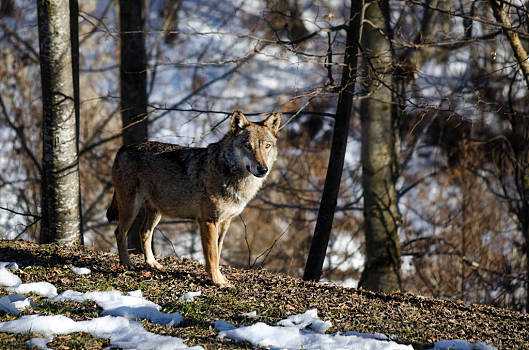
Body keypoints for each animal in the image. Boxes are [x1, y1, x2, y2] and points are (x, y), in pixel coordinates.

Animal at [105, 110, 282, 286]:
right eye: (248, 146)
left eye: (267, 146)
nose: (263, 169)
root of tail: (123, 148)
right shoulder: (208, 221)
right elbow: (212, 256)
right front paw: (217, 281)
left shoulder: (225, 222)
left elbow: (218, 253)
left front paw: (219, 278)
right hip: (131, 208)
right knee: (119, 232)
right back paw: (127, 263)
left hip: (156, 212)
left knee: (144, 232)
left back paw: (152, 263)